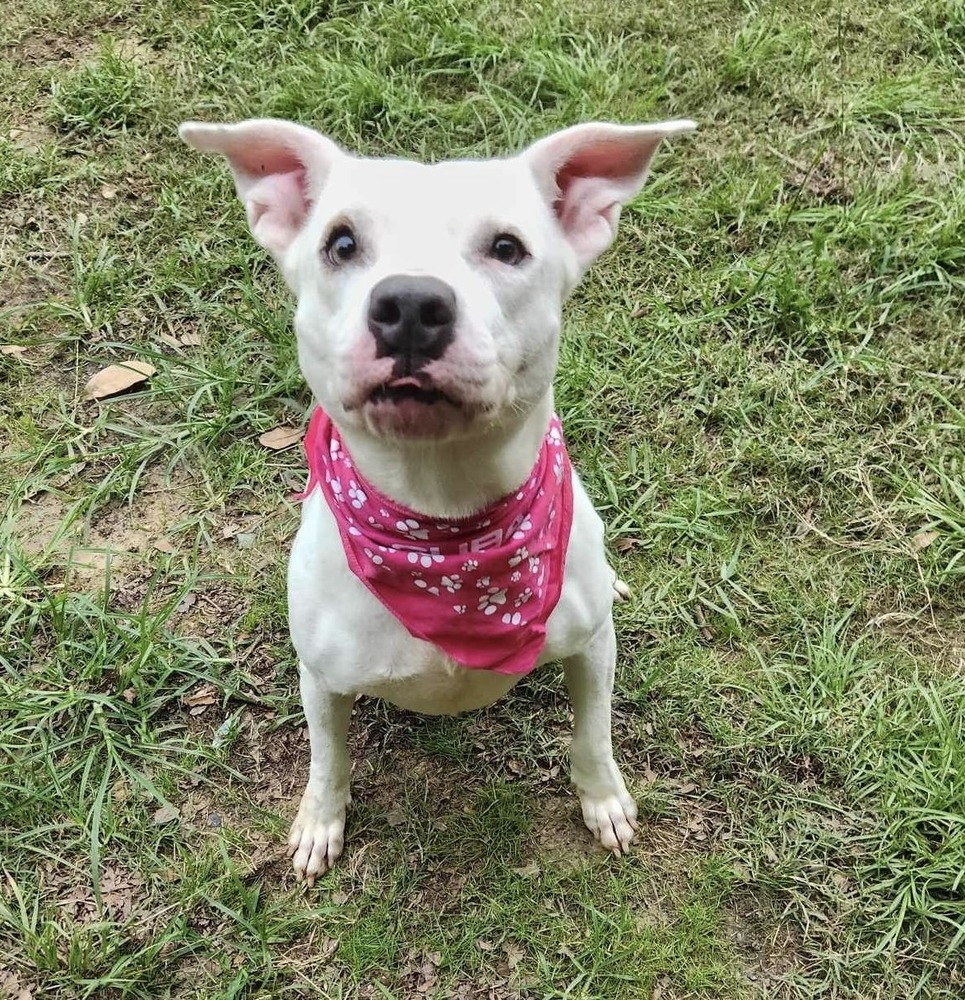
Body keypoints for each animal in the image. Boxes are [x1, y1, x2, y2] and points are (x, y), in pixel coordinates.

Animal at [181, 115, 692, 884]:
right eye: (341, 243)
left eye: (507, 247)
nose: (411, 306)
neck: (444, 521)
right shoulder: (321, 681)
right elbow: (328, 758)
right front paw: (319, 822)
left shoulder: (591, 649)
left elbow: (593, 734)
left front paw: (603, 800)